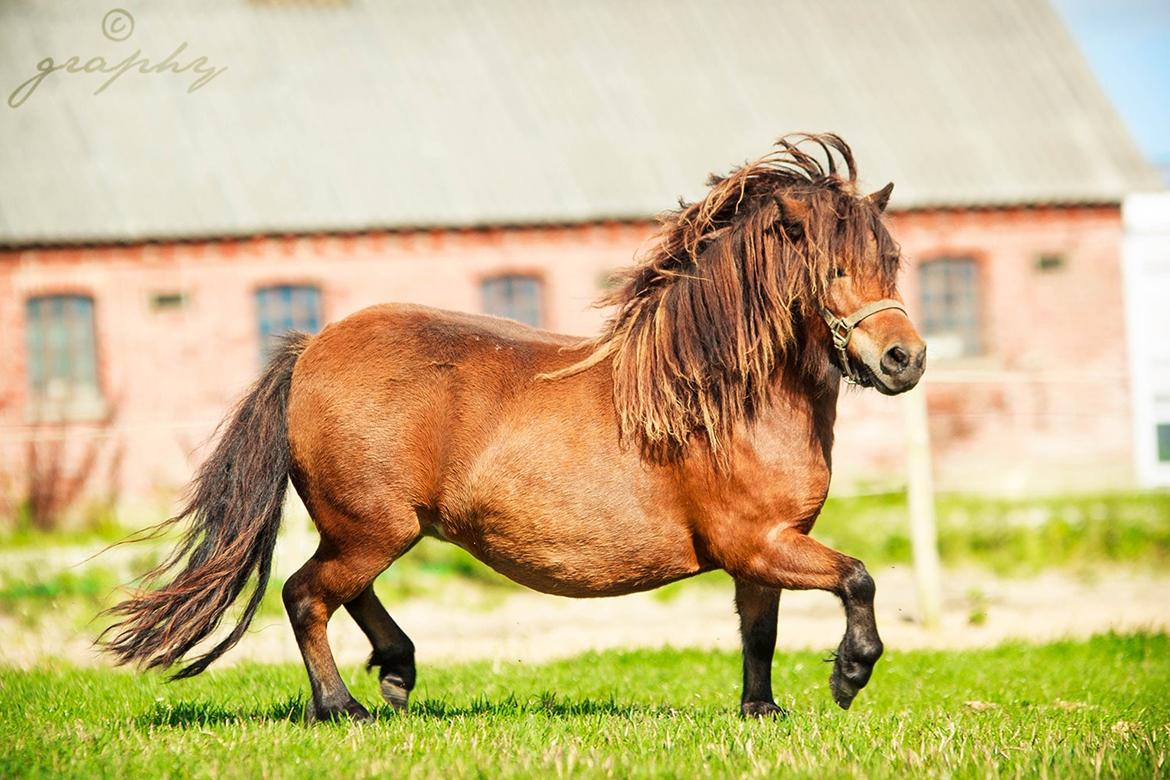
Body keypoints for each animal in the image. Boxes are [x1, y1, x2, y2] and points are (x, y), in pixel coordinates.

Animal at [102, 132, 921, 720]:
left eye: (892, 261)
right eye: (834, 269)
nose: (903, 359)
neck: (722, 398)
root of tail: (311, 350)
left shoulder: (763, 550)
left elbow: (760, 632)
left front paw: (762, 712)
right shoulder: (757, 541)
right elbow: (858, 577)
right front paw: (852, 673)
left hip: (374, 527)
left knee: (340, 590)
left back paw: (397, 670)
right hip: (373, 527)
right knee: (306, 595)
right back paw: (342, 706)